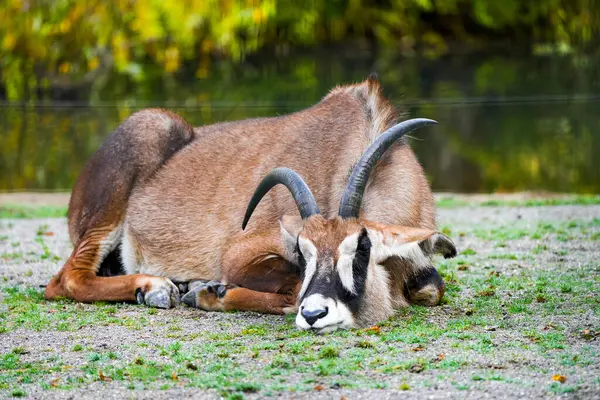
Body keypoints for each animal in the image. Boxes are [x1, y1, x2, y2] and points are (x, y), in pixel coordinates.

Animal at [47, 75, 458, 332]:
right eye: (303, 252)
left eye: (359, 251)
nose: (315, 313)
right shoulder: (240, 252)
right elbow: (291, 286)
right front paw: (213, 292)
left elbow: (431, 288)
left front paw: (207, 290)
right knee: (65, 279)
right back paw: (156, 287)